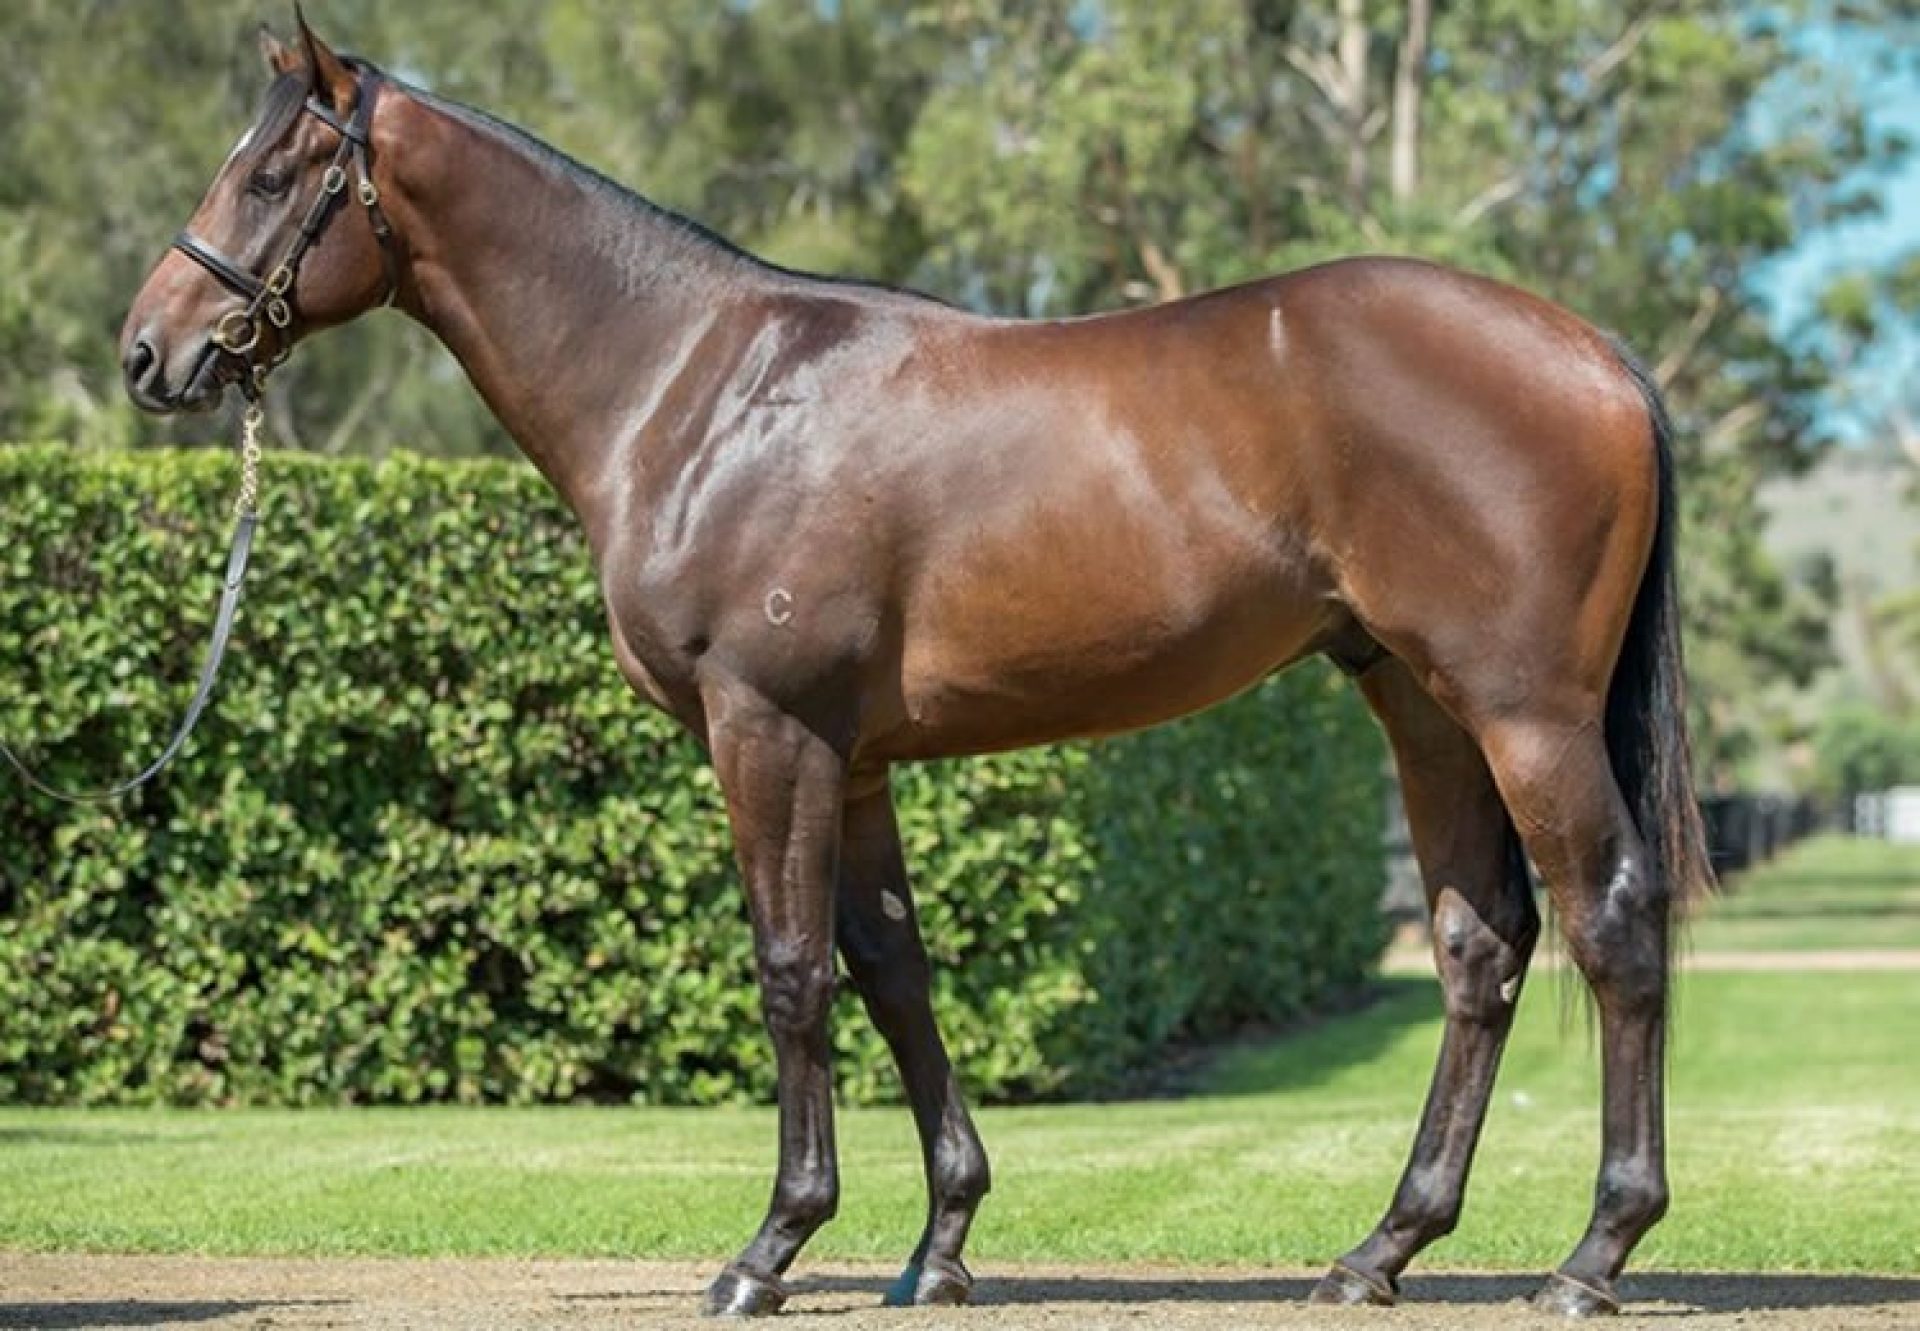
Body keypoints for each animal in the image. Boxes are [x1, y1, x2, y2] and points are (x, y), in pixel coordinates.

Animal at [120, 15, 1712, 1313]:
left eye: (271, 175)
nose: (149, 352)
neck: (697, 384)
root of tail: (1596, 356)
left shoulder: (766, 731)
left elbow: (789, 973)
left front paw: (769, 1247)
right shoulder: (857, 758)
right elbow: (892, 971)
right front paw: (939, 1242)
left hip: (1523, 712)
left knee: (1614, 922)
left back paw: (1592, 1254)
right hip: (1417, 702)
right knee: (1478, 944)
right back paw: (1381, 1247)